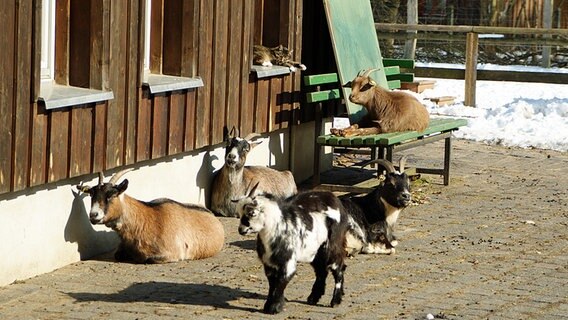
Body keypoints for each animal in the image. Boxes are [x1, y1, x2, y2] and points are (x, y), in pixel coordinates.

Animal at [76, 169, 223, 264]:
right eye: (91, 194)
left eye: (111, 195)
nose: (93, 215)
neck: (147, 218)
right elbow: (118, 255)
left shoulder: (172, 253)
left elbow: (148, 259)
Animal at [234, 181, 348, 314]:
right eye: (239, 214)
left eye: (252, 213)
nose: (241, 230)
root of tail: (335, 199)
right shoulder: (269, 263)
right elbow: (272, 283)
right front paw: (269, 306)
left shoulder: (287, 261)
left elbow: (281, 281)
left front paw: (274, 308)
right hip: (315, 251)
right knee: (321, 271)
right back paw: (313, 298)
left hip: (332, 246)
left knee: (338, 268)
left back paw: (335, 301)